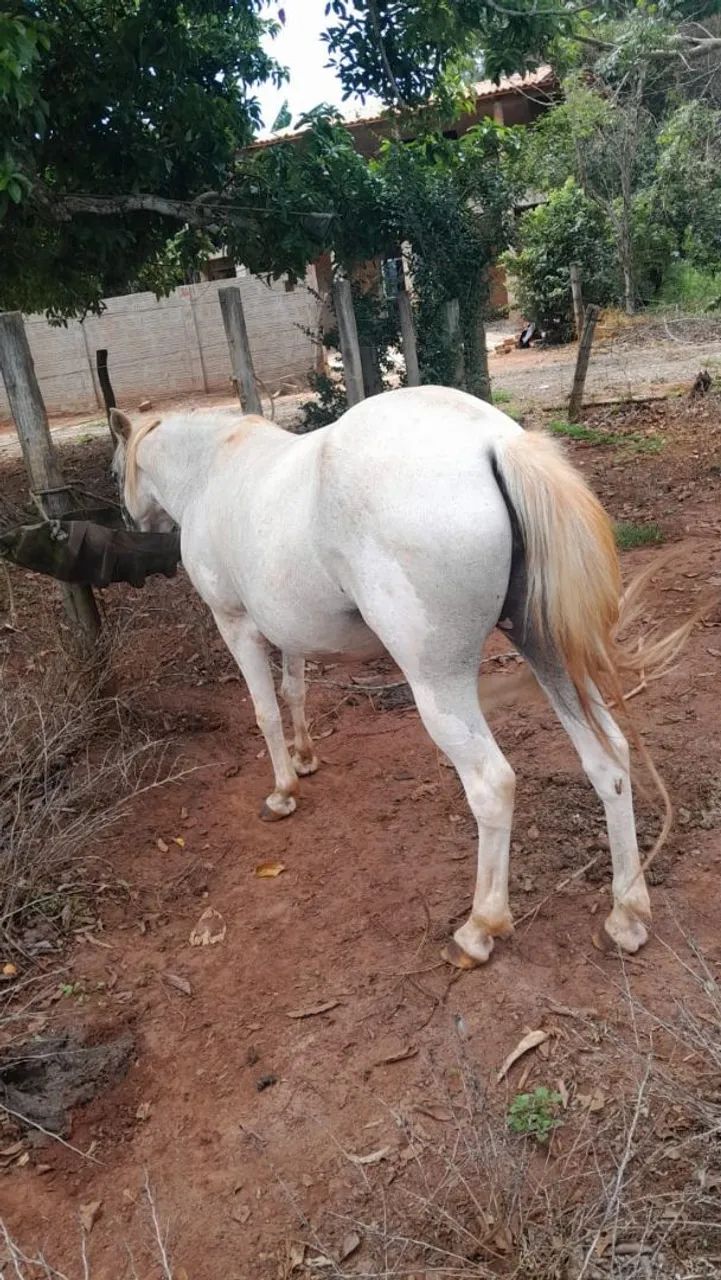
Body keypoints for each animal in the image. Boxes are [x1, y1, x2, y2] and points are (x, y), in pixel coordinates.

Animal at [109, 386, 681, 970]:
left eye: (115, 471)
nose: (135, 533)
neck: (213, 468)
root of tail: (495, 442)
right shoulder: (288, 630)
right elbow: (294, 691)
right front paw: (305, 758)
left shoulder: (237, 624)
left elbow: (265, 712)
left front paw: (283, 792)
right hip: (547, 651)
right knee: (608, 759)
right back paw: (626, 915)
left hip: (441, 688)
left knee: (492, 785)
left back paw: (479, 929)